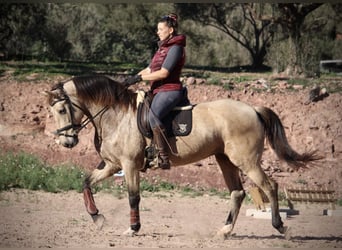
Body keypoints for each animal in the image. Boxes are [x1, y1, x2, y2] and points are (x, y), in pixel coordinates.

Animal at [44, 74, 320, 238]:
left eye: (61, 109)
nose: (66, 142)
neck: (116, 115)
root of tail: (252, 108)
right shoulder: (112, 165)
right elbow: (86, 183)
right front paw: (97, 218)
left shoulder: (129, 165)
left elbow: (133, 197)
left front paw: (133, 228)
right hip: (225, 160)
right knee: (237, 193)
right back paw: (225, 230)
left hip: (247, 161)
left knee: (269, 186)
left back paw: (280, 226)